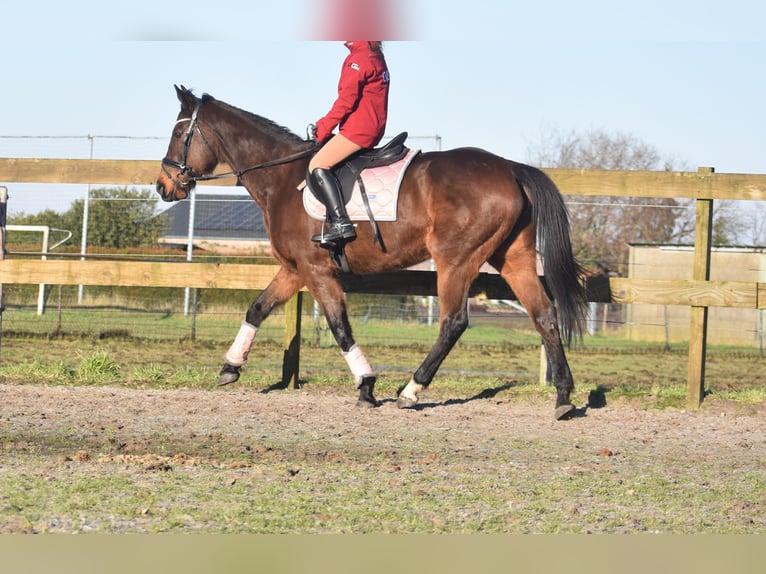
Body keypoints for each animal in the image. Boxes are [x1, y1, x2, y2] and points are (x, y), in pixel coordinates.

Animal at [156, 85, 588, 420]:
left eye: (178, 135)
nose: (163, 186)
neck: (280, 176)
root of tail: (512, 168)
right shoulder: (295, 270)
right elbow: (257, 309)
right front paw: (230, 366)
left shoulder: (316, 270)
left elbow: (339, 325)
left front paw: (366, 385)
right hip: (513, 259)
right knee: (544, 315)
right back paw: (564, 398)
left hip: (456, 260)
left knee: (453, 322)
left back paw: (411, 391)